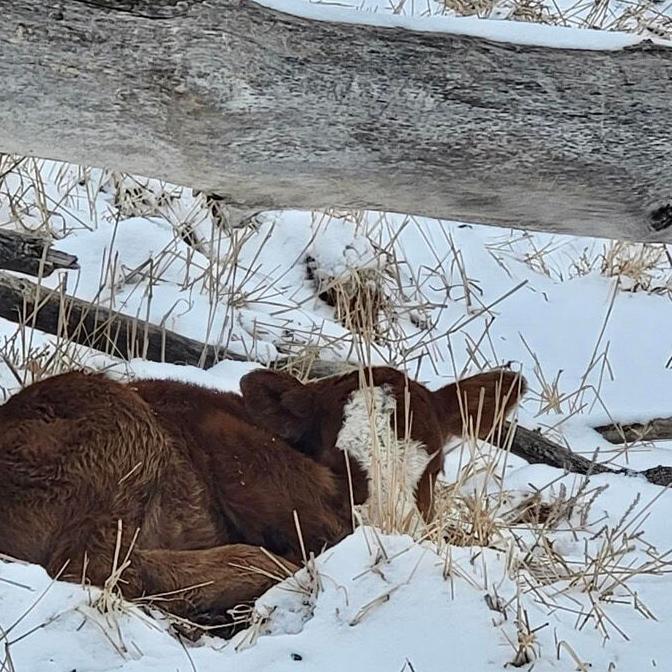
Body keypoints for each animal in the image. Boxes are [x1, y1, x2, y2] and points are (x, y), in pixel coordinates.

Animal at [0, 365, 525, 630]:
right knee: (90, 563)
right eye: (338, 464)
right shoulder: (251, 471)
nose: (393, 542)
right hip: (119, 424)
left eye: (434, 470)